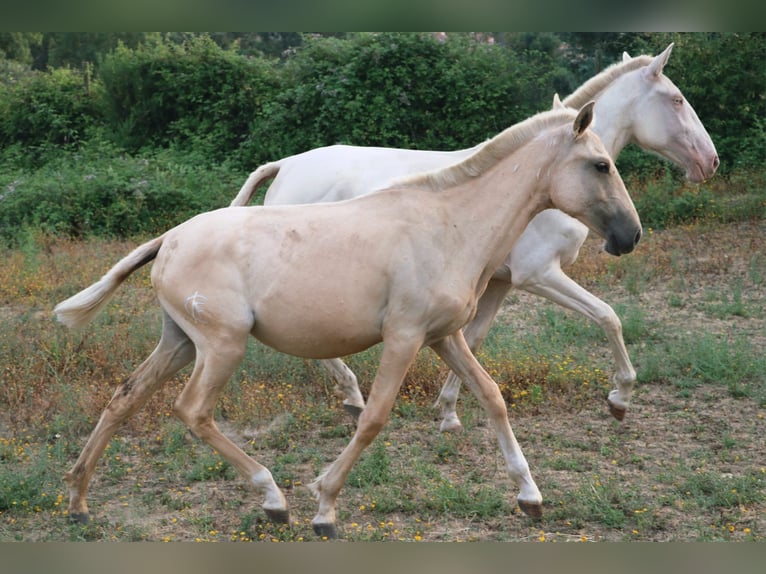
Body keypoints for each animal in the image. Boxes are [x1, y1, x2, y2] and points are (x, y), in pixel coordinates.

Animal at [55, 104, 641, 538]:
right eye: (601, 165)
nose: (629, 236)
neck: (448, 225)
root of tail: (170, 238)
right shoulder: (403, 337)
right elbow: (375, 417)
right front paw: (324, 507)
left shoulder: (443, 337)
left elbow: (492, 396)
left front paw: (530, 496)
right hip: (222, 345)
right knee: (192, 411)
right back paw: (273, 498)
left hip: (179, 341)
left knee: (124, 397)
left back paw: (79, 501)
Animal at [230, 43, 718, 430]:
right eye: (677, 99)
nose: (709, 162)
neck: (533, 184)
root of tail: (286, 165)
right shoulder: (538, 275)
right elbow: (607, 317)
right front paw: (620, 398)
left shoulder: (498, 282)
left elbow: (474, 338)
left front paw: (447, 411)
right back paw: (353, 396)